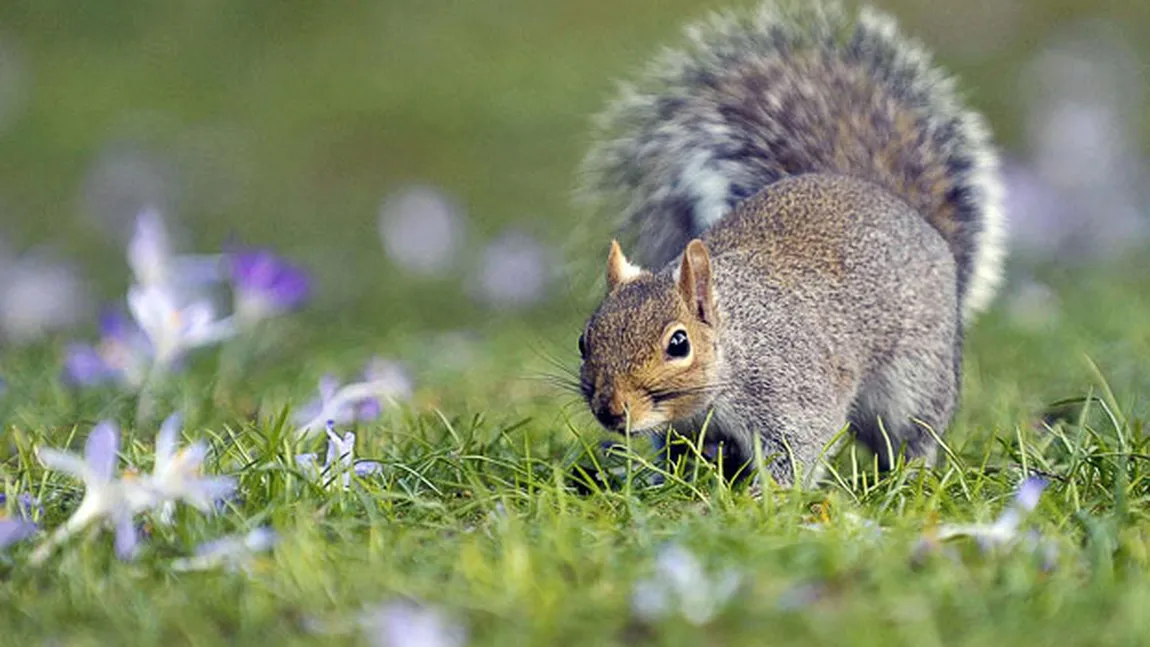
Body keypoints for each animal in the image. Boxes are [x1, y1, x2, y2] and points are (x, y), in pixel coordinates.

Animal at [575, 0, 1007, 487]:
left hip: (917, 376)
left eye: (679, 344)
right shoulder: (685, 430)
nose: (610, 410)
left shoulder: (790, 389)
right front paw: (664, 483)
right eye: (584, 340)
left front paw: (765, 496)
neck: (734, 344)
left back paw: (906, 477)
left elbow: (799, 449)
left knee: (914, 435)